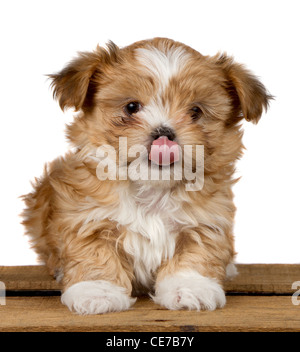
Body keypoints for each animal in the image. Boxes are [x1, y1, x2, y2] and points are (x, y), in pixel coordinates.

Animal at [22, 37, 272, 314]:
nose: (164, 133)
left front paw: (190, 289)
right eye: (131, 107)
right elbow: (95, 256)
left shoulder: (206, 221)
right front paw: (97, 292)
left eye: (195, 112)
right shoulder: (86, 218)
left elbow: (195, 255)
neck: (152, 189)